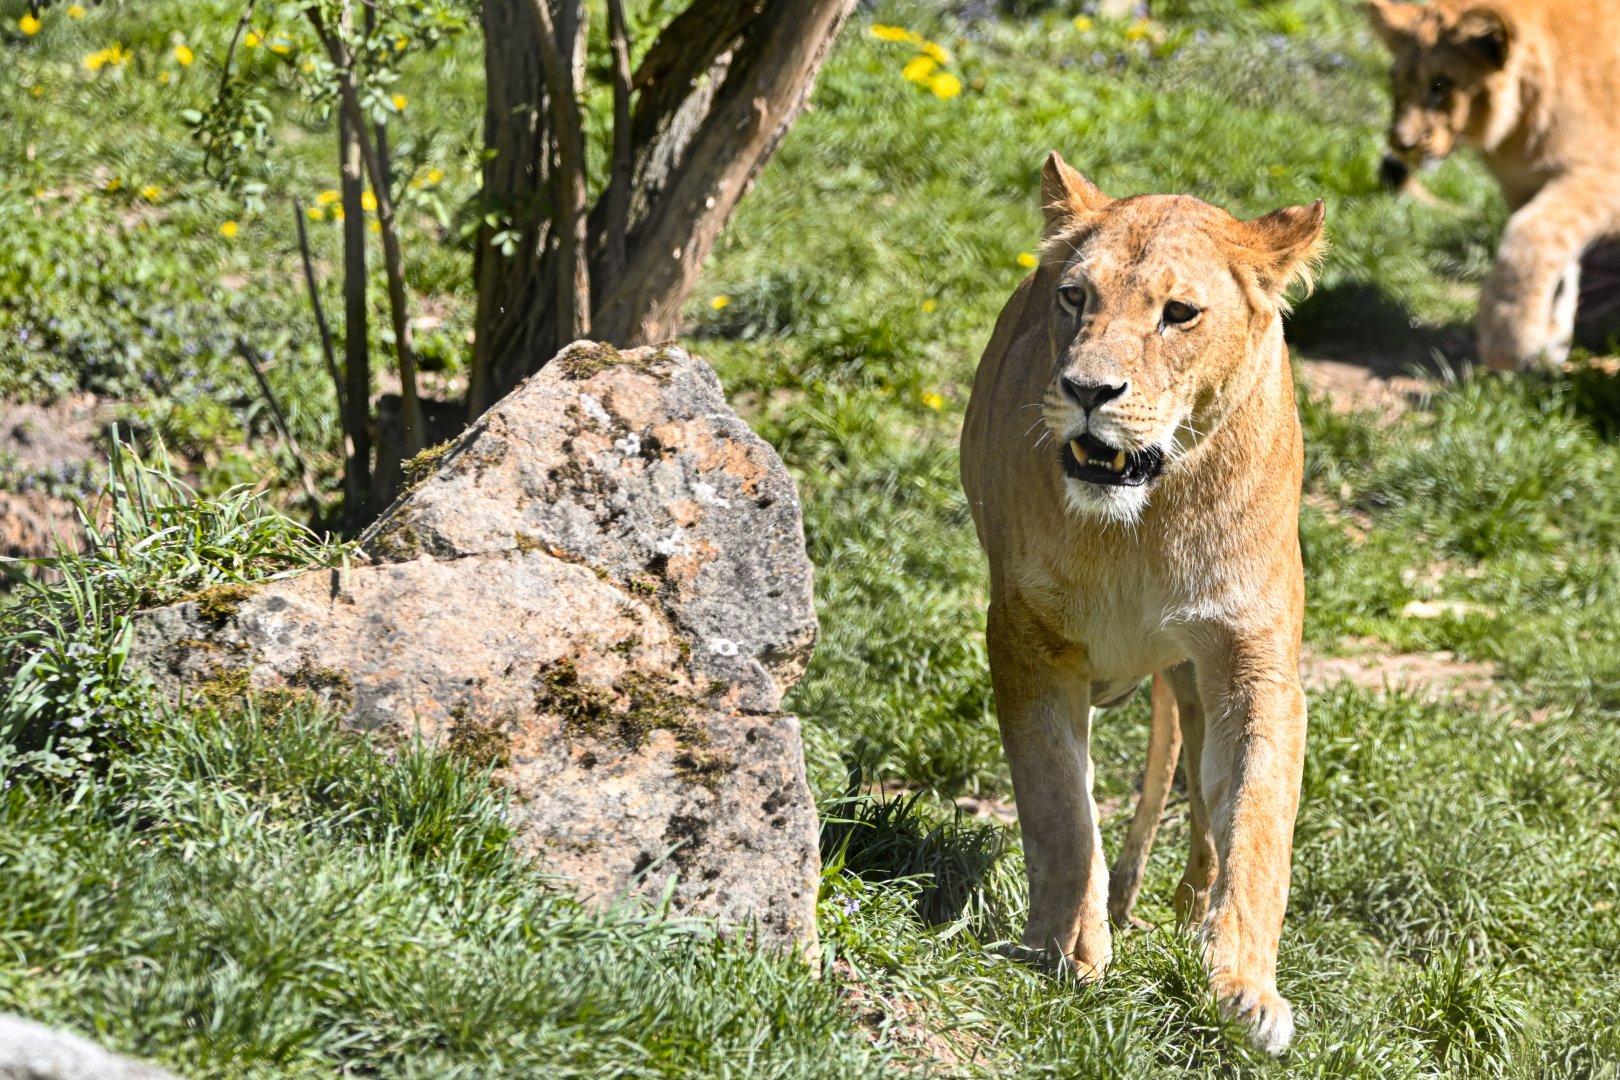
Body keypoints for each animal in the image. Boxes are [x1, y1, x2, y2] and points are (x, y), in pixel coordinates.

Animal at [959, 153, 1324, 1055]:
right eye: (1073, 297)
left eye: (1179, 313)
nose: (1087, 389)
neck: (1142, 523)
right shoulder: (1026, 640)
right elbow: (1059, 807)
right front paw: (1068, 952)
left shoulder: (1254, 663)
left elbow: (1257, 826)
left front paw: (1244, 988)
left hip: (1192, 677)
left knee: (1200, 798)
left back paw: (1191, 925)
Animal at [1368, 0, 1620, 370]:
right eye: (1397, 83)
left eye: (1440, 86)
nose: (1402, 144)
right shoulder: (1526, 186)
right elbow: (1557, 258)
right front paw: (1549, 342)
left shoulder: (1600, 175)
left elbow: (1529, 238)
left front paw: (1508, 343)